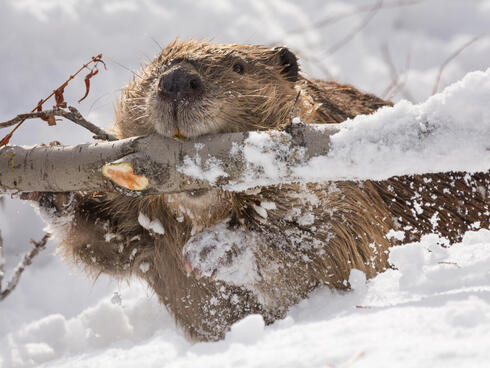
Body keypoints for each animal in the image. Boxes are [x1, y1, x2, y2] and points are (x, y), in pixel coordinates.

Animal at [29, 39, 486, 340]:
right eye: (154, 68)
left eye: (238, 67)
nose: (176, 82)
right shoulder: (146, 229)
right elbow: (105, 242)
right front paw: (52, 189)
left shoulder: (346, 187)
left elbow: (341, 243)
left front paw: (214, 249)